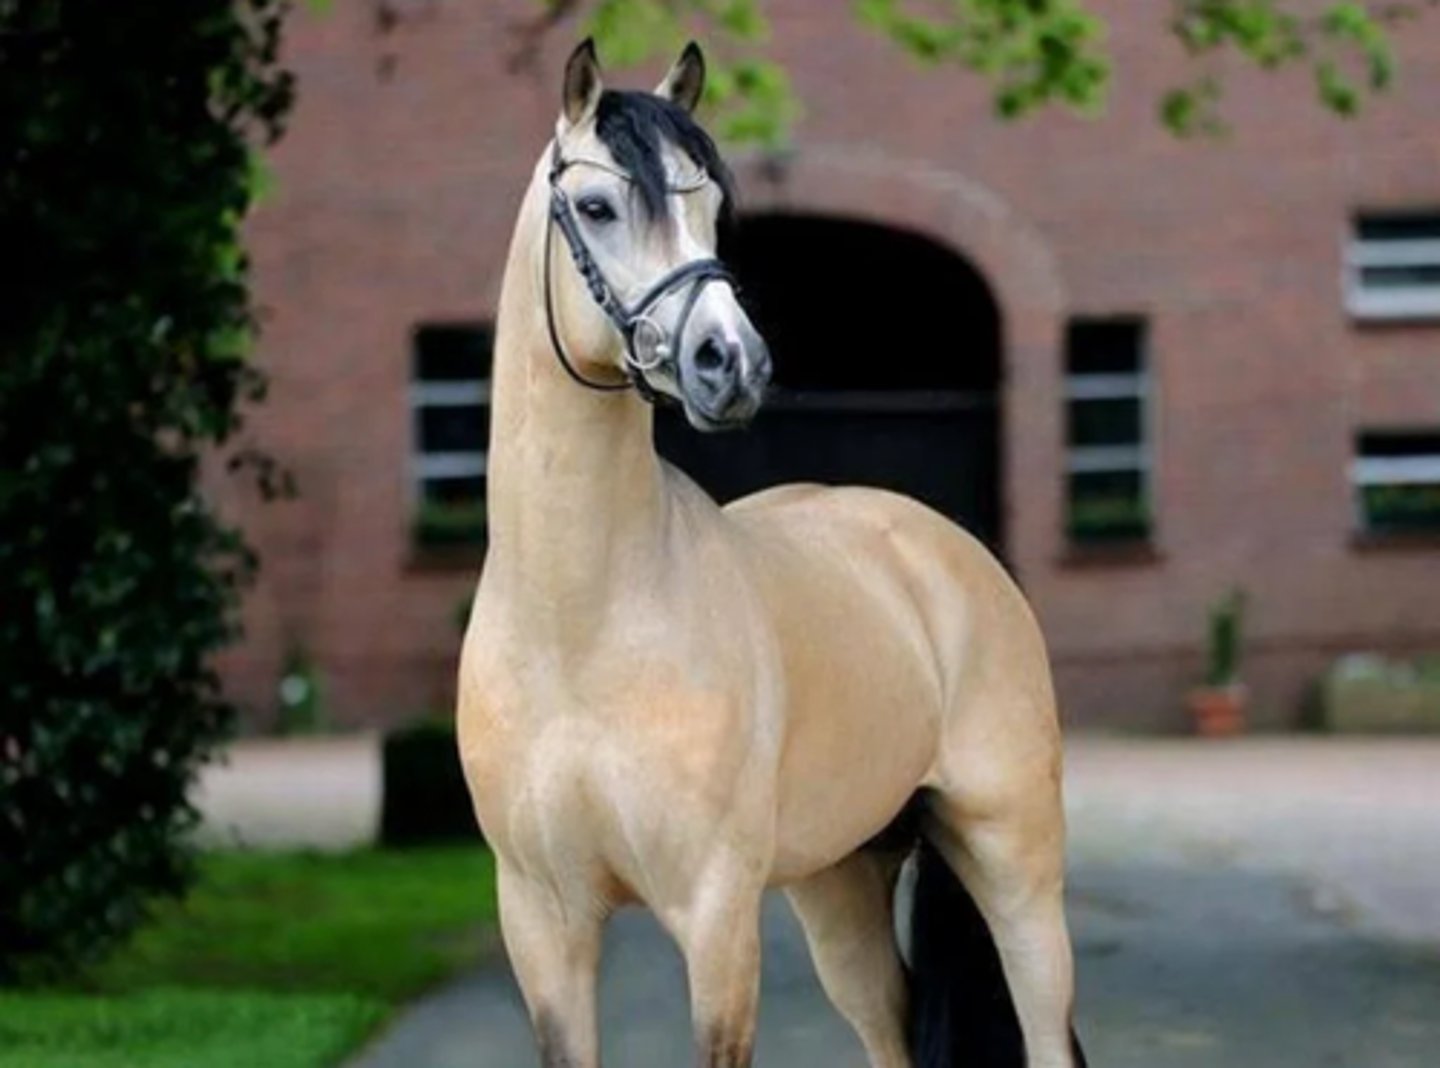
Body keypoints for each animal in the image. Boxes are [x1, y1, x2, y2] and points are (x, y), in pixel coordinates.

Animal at [457, 39, 1087, 1068]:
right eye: (596, 207)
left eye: (713, 205)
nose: (731, 362)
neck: (579, 622)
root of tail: (948, 554)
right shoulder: (543, 922)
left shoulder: (714, 913)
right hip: (839, 884)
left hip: (1015, 864)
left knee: (1046, 1032)